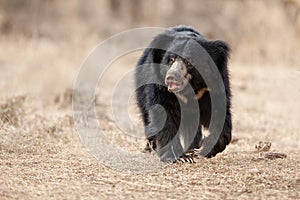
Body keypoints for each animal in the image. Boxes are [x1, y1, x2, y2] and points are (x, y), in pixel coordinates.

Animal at [135, 25, 232, 162]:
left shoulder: (214, 85)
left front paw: (204, 149)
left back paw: (192, 148)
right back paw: (151, 148)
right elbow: (164, 115)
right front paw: (179, 157)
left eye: (189, 63)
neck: (189, 90)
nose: (171, 78)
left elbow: (219, 113)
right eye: (171, 60)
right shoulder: (159, 88)